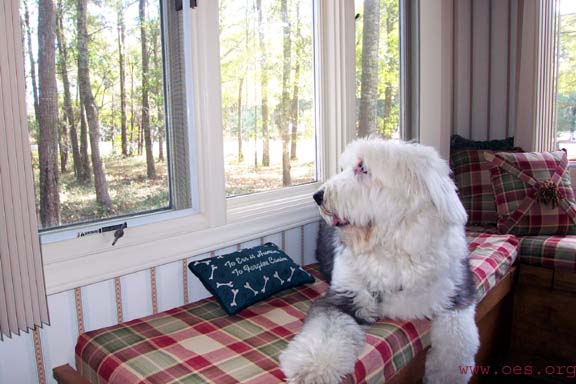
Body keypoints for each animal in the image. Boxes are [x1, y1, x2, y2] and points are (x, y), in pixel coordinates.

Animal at [282, 140, 480, 384]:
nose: (318, 195)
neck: (392, 247)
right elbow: (325, 332)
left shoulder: (457, 292)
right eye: (344, 167)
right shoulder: (343, 297)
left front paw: (445, 375)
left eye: (363, 168)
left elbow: (457, 342)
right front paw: (311, 369)